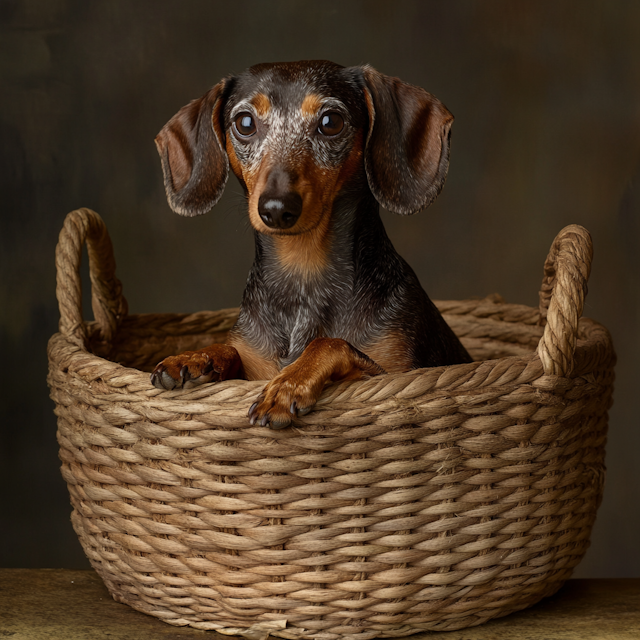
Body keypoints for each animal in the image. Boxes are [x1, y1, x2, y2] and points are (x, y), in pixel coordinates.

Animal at [150, 60, 470, 428]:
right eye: (244, 123)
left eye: (331, 122)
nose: (276, 208)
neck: (302, 271)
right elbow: (230, 349)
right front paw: (194, 356)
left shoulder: (395, 376)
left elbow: (331, 343)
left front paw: (288, 383)